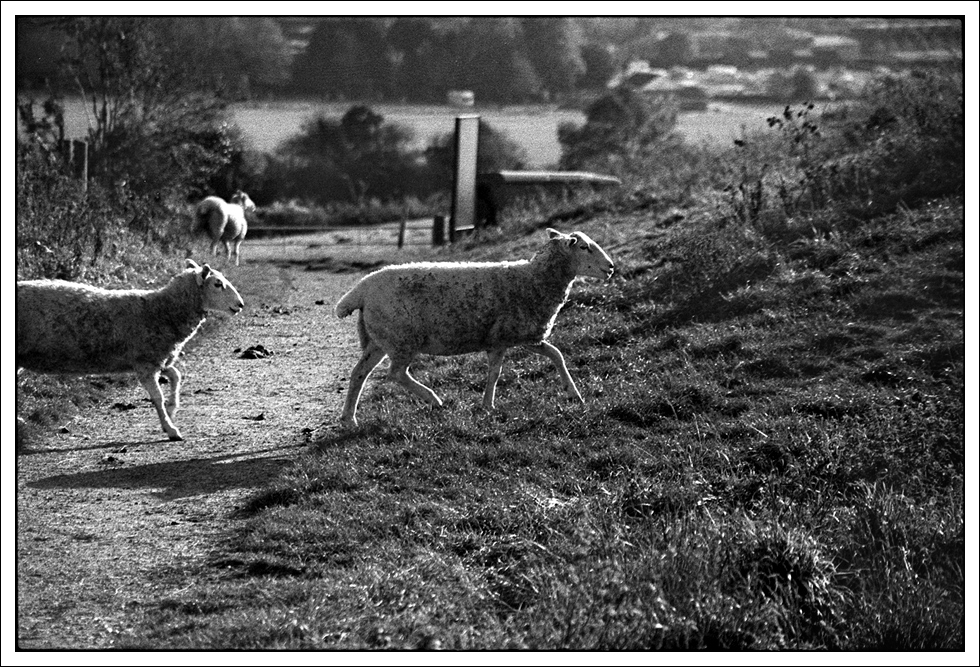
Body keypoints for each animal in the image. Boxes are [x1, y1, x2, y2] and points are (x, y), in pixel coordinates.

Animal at [16, 260, 244, 444]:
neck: (161, 310)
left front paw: (172, 408)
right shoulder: (146, 363)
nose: (240, 305)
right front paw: (170, 428)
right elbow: (158, 396)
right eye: (217, 284)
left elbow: (176, 376)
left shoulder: (156, 359)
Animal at [334, 228, 612, 428]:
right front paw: (488, 405)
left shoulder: (521, 336)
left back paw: (350, 419)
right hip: (402, 338)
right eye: (585, 248)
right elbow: (496, 373)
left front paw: (573, 394)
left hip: (379, 340)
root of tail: (361, 289)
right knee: (396, 374)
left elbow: (556, 355)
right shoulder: (504, 336)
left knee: (359, 374)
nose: (610, 268)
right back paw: (434, 400)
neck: (534, 278)